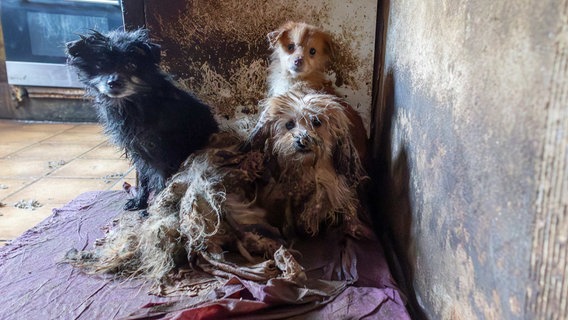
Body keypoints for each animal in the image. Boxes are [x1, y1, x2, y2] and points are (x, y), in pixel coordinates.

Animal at [65, 29, 219, 210]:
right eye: (100, 65)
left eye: (131, 65)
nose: (114, 82)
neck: (135, 104)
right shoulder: (138, 151)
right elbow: (144, 179)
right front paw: (140, 201)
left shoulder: (166, 153)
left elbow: (161, 180)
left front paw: (157, 205)